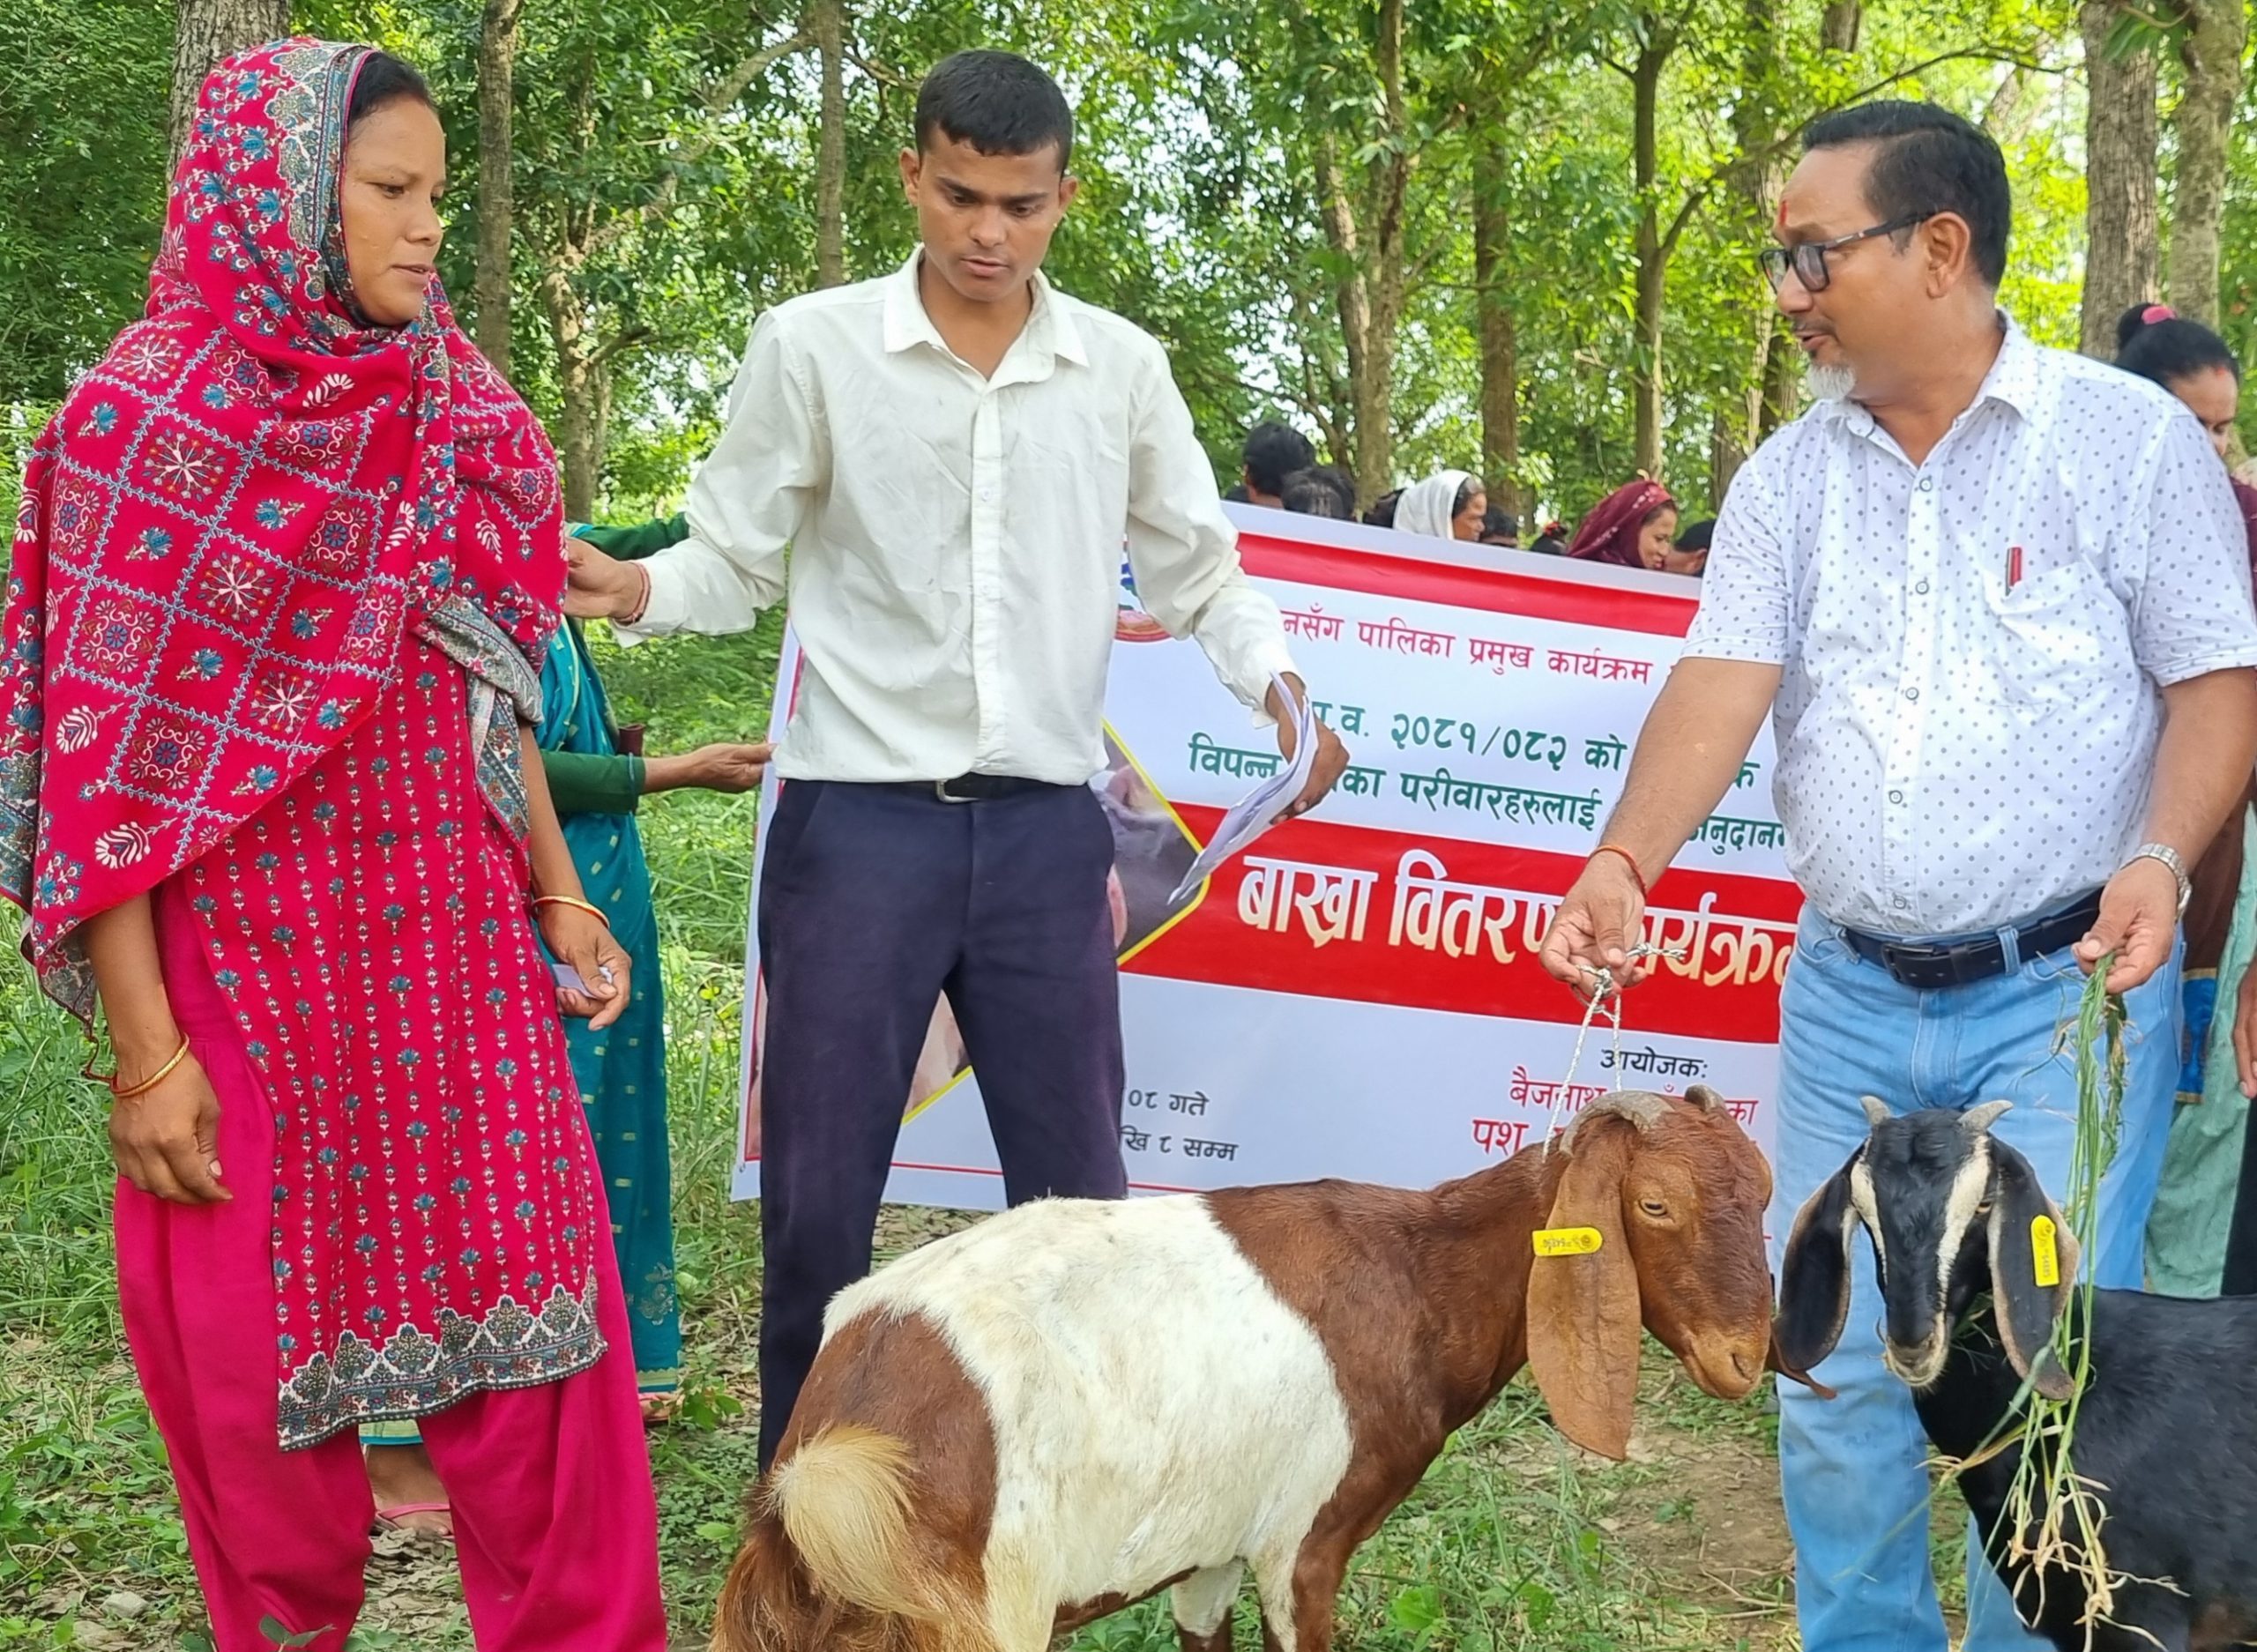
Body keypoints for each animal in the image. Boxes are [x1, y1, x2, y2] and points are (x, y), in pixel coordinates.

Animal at [712, 1086, 1781, 1652]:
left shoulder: (1213, 1547)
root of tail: (835, 1450)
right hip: (991, 1612)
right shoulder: (1304, 1542)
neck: (1417, 1274)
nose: (1744, 1357)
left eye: (1765, 1189)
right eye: (1653, 1205)